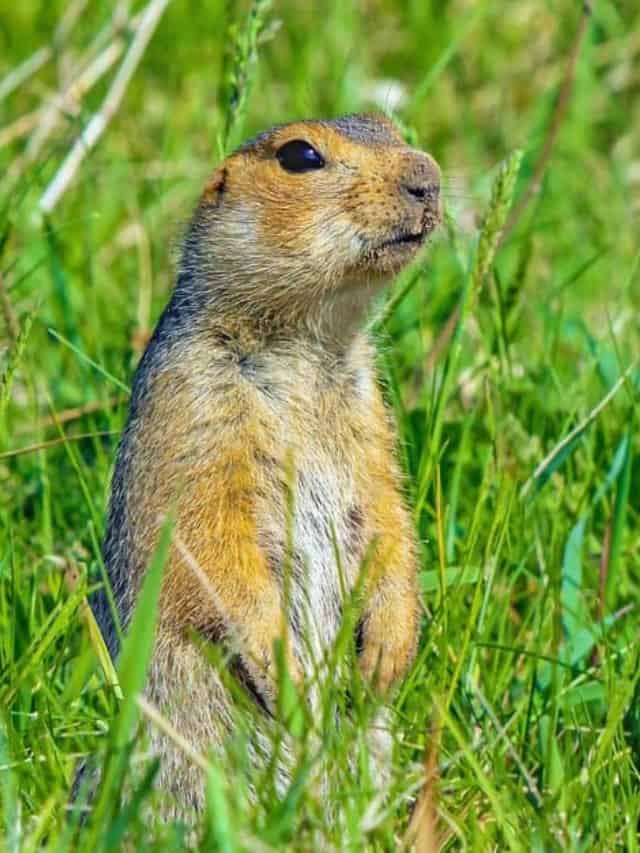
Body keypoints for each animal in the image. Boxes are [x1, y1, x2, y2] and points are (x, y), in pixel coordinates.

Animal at [91, 113, 440, 812]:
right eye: (300, 155)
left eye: (388, 126)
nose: (430, 178)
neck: (307, 343)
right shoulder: (193, 407)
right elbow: (204, 536)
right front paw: (287, 677)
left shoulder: (371, 423)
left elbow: (390, 517)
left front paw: (388, 653)